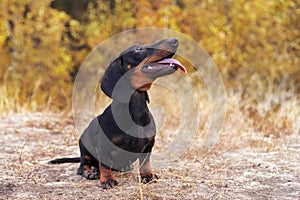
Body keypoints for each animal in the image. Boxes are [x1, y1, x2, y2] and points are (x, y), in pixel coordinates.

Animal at [50, 37, 186, 189]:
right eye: (138, 49)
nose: (174, 40)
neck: (135, 113)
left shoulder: (149, 144)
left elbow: (145, 162)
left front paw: (147, 175)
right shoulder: (103, 144)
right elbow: (104, 165)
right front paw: (107, 180)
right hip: (84, 144)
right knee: (83, 166)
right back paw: (90, 172)